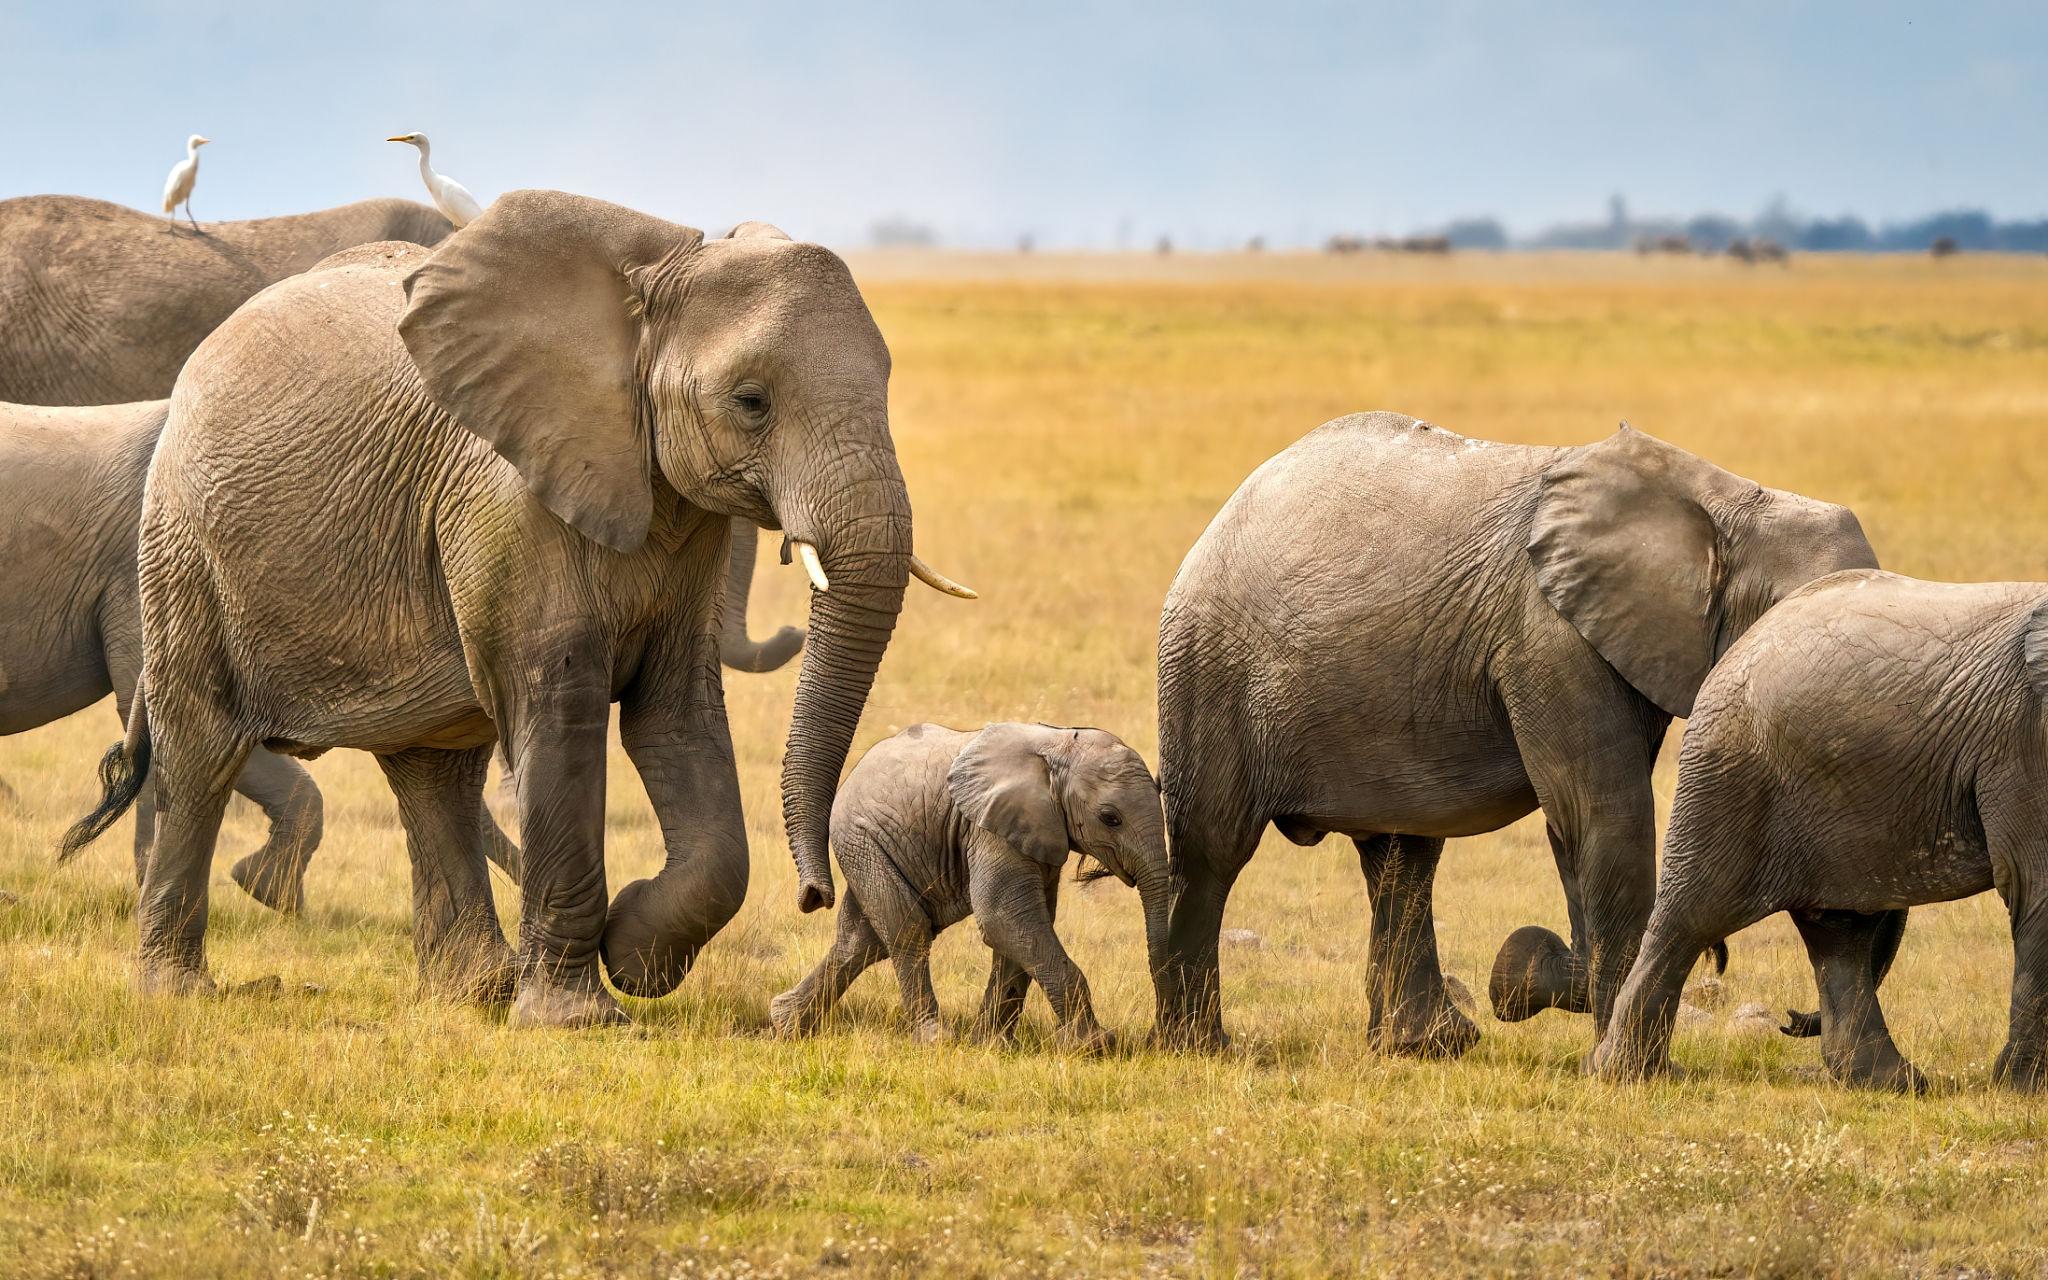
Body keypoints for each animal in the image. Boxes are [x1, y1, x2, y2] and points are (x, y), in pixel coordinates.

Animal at [60, 194, 969, 1027]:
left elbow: (675, 712)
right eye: (752, 402)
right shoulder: (506, 495)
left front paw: (633, 951)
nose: (818, 894)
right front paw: (581, 1015)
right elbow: (559, 705)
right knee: (202, 748)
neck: (650, 285)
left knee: (433, 770)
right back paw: (178, 991)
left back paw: (478, 990)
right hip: (183, 542)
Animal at [769, 723, 1169, 1050]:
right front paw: (1094, 1046)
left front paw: (992, 1046)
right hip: (861, 840)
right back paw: (933, 1040)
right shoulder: (989, 828)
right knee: (907, 930)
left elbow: (1024, 925)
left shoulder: (1036, 832)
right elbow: (1003, 916)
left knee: (862, 940)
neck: (1056, 747)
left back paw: (786, 1024)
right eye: (1110, 818)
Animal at [1153, 412, 1878, 1054]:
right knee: (1212, 849)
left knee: (1402, 856)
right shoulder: (1551, 634)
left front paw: (1530, 981)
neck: (1727, 505)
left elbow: (1574, 824)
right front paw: (1540, 985)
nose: (1791, 1021)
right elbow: (1601, 814)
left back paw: (1428, 1046)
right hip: (1207, 666)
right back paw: (1201, 1047)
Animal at [1592, 571, 2048, 1093]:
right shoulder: (2023, 740)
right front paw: (2023, 1092)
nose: (1790, 1020)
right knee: (1688, 920)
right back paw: (1631, 1075)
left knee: (1840, 932)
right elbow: (2037, 887)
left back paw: (1890, 1083)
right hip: (1730, 772)